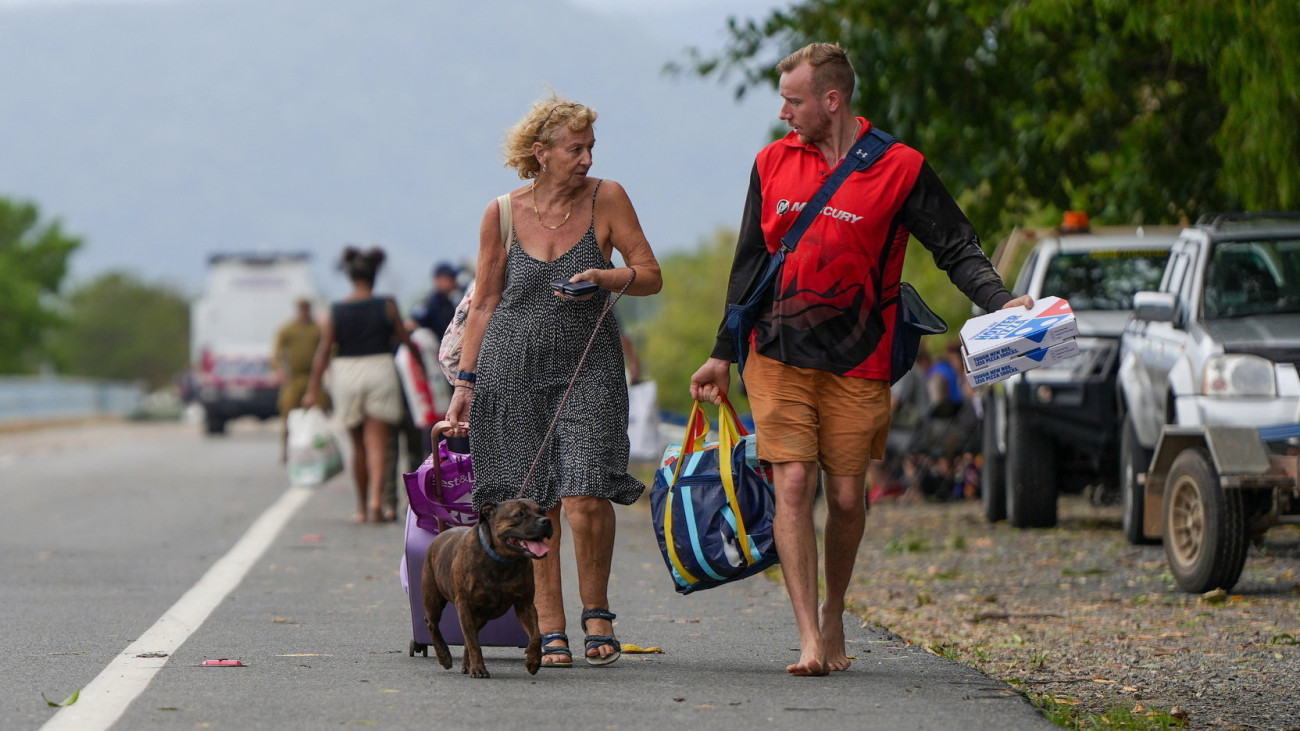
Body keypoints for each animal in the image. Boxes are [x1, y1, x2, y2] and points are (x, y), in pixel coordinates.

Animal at [423, 496, 551, 676]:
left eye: (542, 511)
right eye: (519, 514)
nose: (546, 521)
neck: (501, 559)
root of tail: (440, 535)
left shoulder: (525, 604)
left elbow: (536, 635)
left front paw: (533, 661)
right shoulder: (464, 605)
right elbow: (474, 643)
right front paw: (478, 668)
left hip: (481, 616)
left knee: (469, 637)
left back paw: (466, 664)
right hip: (434, 599)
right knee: (432, 624)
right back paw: (444, 656)